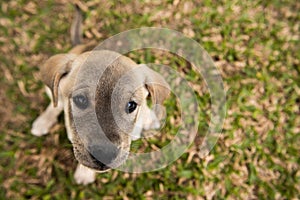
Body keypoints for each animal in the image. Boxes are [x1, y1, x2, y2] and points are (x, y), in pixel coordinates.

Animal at [32, 5, 171, 184]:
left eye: (131, 105)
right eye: (80, 100)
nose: (105, 154)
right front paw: (85, 174)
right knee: (55, 105)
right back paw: (43, 122)